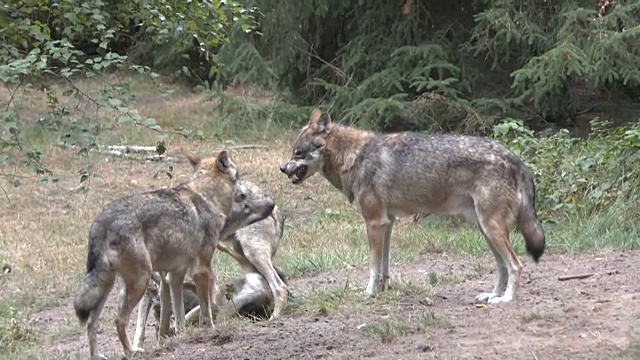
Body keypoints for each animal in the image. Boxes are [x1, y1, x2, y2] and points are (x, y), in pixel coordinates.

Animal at [72, 150, 248, 358]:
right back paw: (131, 351)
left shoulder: (175, 275)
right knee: (119, 320)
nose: (245, 193)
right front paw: (211, 331)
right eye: (239, 176)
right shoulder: (201, 270)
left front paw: (182, 337)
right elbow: (207, 310)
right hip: (140, 282)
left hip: (109, 286)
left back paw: (98, 356)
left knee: (91, 323)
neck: (207, 196)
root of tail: (101, 221)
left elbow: (179, 316)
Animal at [280, 109, 544, 304]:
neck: (355, 156)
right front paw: (383, 290)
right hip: (485, 230)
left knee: (516, 265)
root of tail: (516, 159)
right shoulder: (388, 223)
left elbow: (373, 266)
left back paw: (506, 300)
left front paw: (368, 293)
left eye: (298, 153)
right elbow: (384, 266)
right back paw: (493, 295)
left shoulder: (374, 223)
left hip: (492, 229)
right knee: (502, 267)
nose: (282, 168)